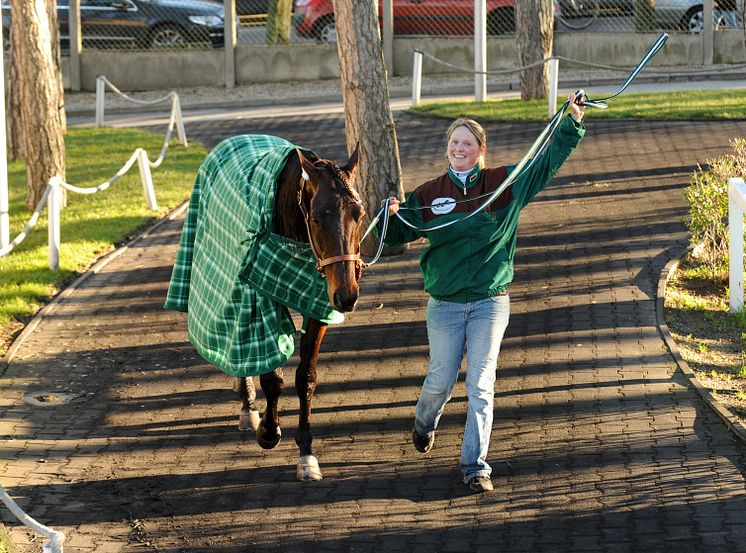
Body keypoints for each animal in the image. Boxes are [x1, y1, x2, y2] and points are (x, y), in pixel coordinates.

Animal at [231, 141, 362, 478]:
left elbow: (307, 377)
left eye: (359, 213)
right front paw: (268, 429)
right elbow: (271, 376)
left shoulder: (320, 301)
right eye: (316, 217)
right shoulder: (261, 294)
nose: (347, 295)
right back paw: (248, 406)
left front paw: (306, 454)